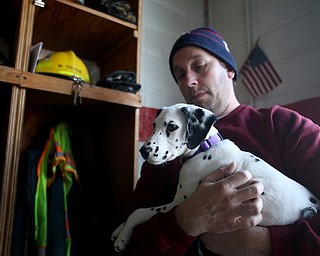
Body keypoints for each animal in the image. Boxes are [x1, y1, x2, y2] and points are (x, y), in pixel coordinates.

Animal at [110, 102, 320, 252]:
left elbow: (139, 212)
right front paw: (119, 229)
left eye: (171, 126)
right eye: (153, 125)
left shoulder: (178, 203)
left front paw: (123, 235)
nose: (143, 151)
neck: (205, 149)